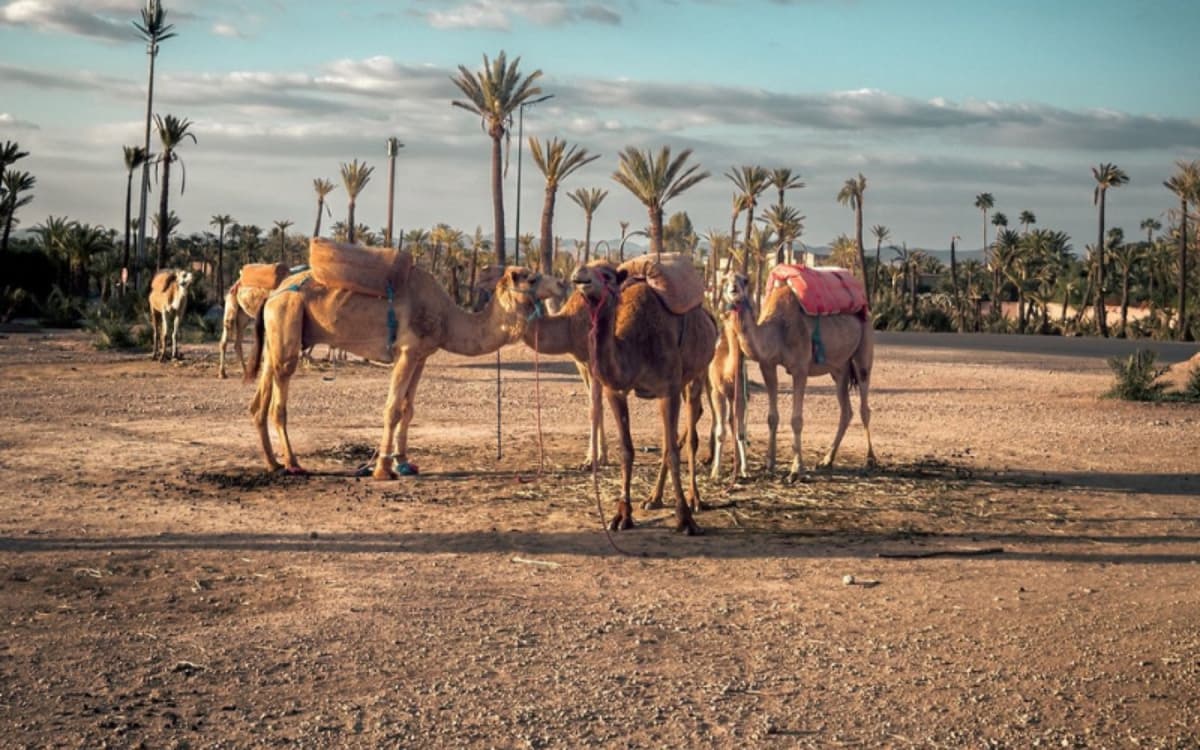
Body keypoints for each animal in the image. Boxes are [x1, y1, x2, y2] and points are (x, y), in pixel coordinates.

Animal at [247, 265, 564, 478]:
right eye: (531, 277)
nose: (561, 283)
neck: (448, 318)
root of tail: (273, 294)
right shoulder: (406, 351)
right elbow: (392, 408)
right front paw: (382, 469)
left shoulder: (421, 356)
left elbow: (408, 409)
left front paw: (404, 463)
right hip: (287, 320)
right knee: (278, 401)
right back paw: (293, 464)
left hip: (278, 334)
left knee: (259, 400)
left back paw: (273, 463)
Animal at [572, 261, 717, 535]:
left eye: (607, 275)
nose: (580, 276)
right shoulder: (616, 391)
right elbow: (627, 450)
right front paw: (622, 515)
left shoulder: (668, 388)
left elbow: (673, 452)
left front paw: (685, 519)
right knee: (670, 438)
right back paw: (654, 498)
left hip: (698, 373)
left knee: (690, 432)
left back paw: (694, 499)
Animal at [720, 270, 876, 482]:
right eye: (724, 280)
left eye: (745, 280)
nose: (733, 289)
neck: (777, 329)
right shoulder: (767, 365)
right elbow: (772, 417)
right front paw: (769, 465)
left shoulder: (800, 368)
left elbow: (796, 420)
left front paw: (796, 470)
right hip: (839, 368)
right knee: (846, 410)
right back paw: (826, 460)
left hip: (864, 349)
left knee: (864, 405)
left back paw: (870, 460)